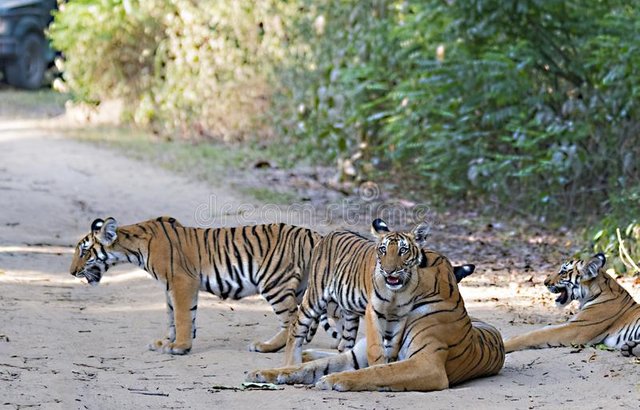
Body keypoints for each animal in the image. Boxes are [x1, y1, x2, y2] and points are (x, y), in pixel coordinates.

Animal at [68, 216, 322, 354]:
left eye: (84, 251)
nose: (71, 272)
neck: (132, 250)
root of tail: (312, 234)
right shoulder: (169, 286)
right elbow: (174, 316)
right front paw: (166, 342)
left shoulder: (181, 281)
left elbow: (181, 316)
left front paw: (179, 347)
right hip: (297, 287)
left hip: (274, 284)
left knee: (291, 320)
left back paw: (265, 346)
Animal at [284, 221, 476, 366]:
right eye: (383, 250)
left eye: (403, 250)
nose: (389, 270)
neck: (397, 292)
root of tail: (330, 234)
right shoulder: (373, 311)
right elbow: (376, 346)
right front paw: (376, 366)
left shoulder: (399, 316)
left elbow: (392, 346)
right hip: (315, 296)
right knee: (296, 329)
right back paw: (291, 363)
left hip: (349, 314)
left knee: (345, 344)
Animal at [504, 253, 640, 356]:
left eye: (563, 272)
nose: (545, 282)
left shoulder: (576, 327)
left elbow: (536, 334)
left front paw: (505, 344)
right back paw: (630, 347)